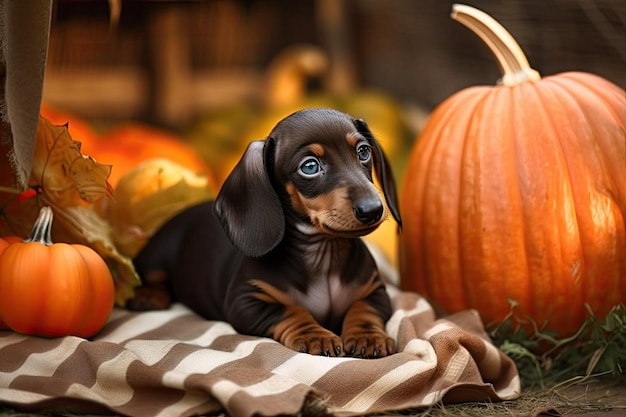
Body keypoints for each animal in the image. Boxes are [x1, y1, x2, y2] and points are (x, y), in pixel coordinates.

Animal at [134, 107, 402, 358]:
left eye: (363, 152)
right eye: (310, 167)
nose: (372, 210)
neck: (322, 255)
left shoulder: (374, 291)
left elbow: (364, 309)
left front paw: (368, 336)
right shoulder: (246, 301)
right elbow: (290, 310)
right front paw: (315, 335)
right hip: (157, 256)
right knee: (152, 275)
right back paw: (148, 295)